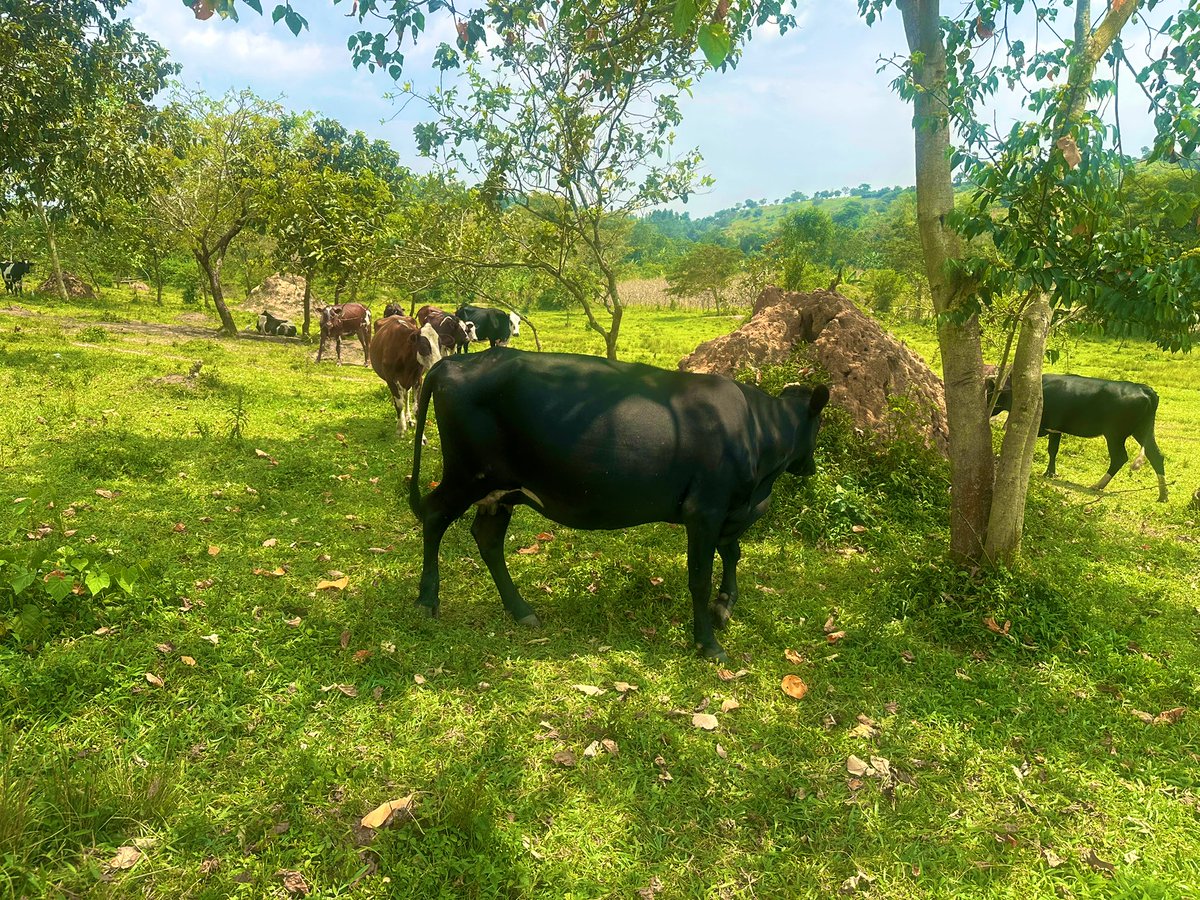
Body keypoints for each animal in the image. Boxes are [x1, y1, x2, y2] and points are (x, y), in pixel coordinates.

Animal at [408, 349, 830, 660]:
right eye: (819, 423)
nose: (809, 466)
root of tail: (455, 362)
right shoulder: (705, 510)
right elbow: (699, 578)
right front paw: (708, 644)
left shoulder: (731, 509)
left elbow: (733, 552)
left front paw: (726, 604)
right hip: (467, 475)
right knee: (434, 515)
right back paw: (427, 600)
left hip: (503, 490)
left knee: (487, 538)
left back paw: (521, 610)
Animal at [990, 373, 1168, 502]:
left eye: (992, 393)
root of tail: (1144, 389)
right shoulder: (1055, 428)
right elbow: (1053, 450)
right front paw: (1050, 473)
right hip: (1142, 431)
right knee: (1156, 456)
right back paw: (1163, 495)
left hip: (1115, 433)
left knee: (1120, 457)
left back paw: (1098, 485)